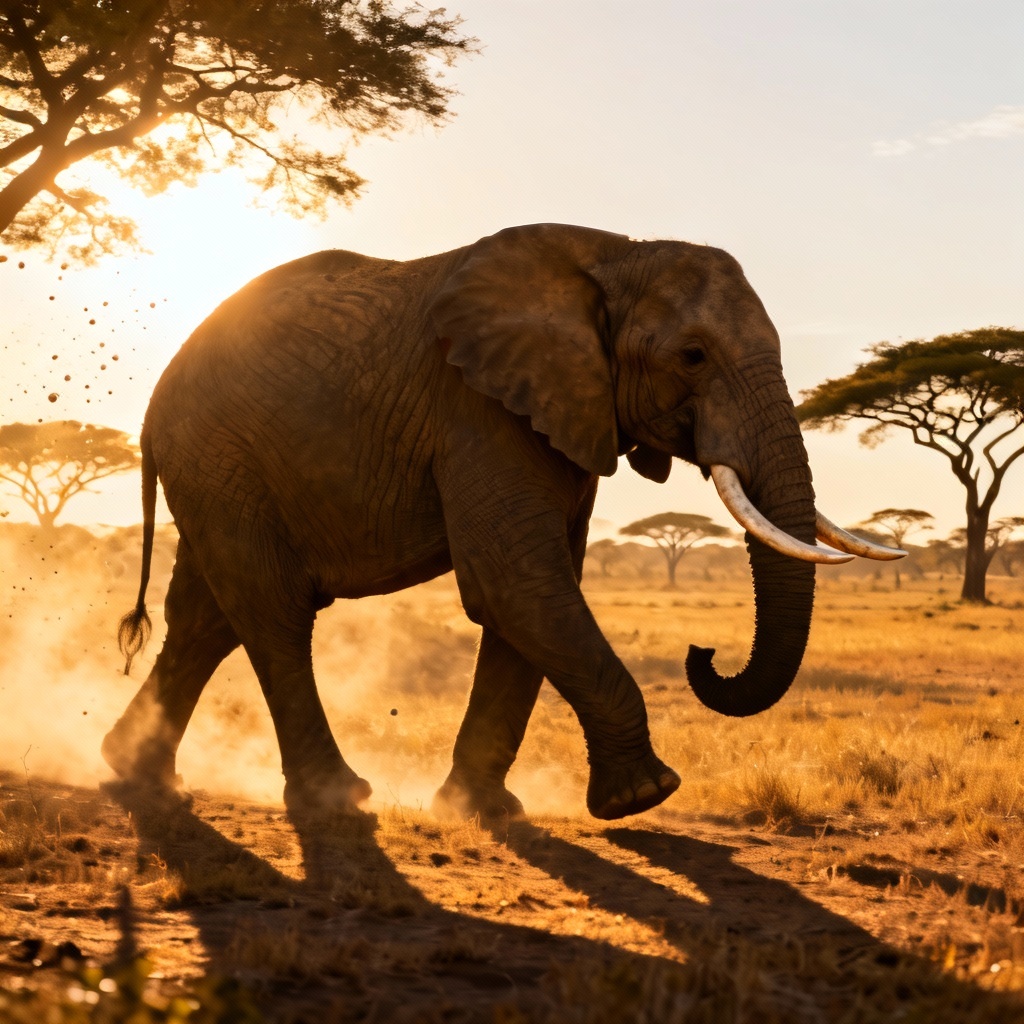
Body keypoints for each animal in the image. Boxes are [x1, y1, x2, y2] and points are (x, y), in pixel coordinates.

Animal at [103, 223, 901, 821]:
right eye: (693, 356)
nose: (703, 653)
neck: (614, 252)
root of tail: (152, 407)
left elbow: (532, 593)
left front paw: (481, 812)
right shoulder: (479, 408)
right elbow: (518, 581)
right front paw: (645, 798)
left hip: (220, 468)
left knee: (209, 615)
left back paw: (134, 771)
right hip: (219, 452)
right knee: (271, 610)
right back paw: (337, 797)